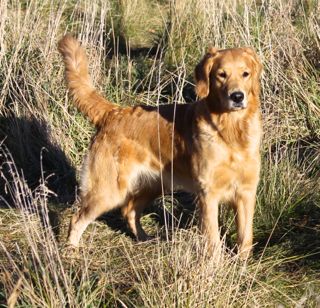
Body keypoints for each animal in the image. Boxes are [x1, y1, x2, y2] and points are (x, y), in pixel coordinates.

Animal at [58, 35, 262, 258]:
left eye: (245, 74)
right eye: (221, 75)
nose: (237, 96)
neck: (231, 132)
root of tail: (113, 112)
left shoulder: (246, 193)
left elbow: (245, 237)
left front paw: (242, 263)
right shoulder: (208, 194)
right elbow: (213, 239)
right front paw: (215, 263)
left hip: (155, 184)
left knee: (129, 210)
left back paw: (145, 239)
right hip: (108, 190)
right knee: (77, 218)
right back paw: (71, 250)